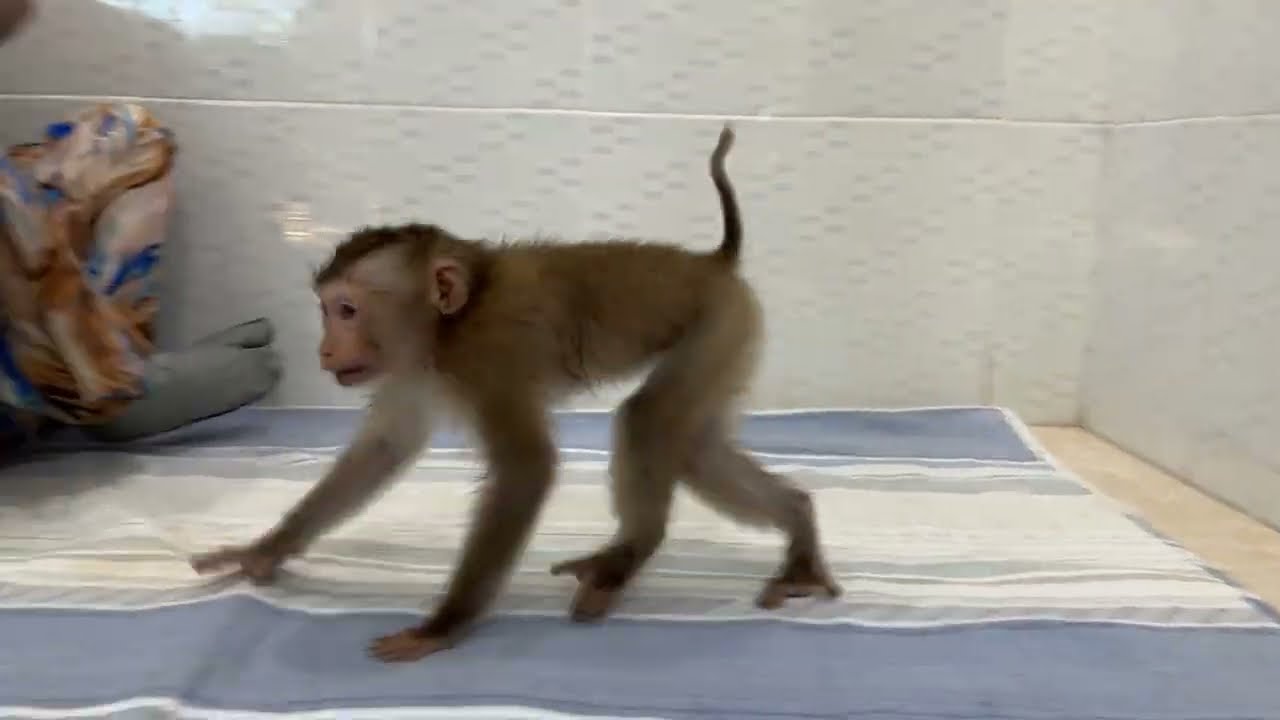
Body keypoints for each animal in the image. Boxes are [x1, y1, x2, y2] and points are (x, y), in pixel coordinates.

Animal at [190, 125, 842, 663]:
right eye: (325, 310)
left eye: (346, 310)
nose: (325, 351)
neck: (448, 327)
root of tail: (714, 264)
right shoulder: (413, 369)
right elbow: (383, 449)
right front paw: (264, 552)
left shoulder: (487, 358)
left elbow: (528, 467)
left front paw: (445, 625)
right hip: (732, 338)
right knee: (696, 446)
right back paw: (796, 524)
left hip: (722, 326)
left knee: (650, 420)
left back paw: (630, 554)